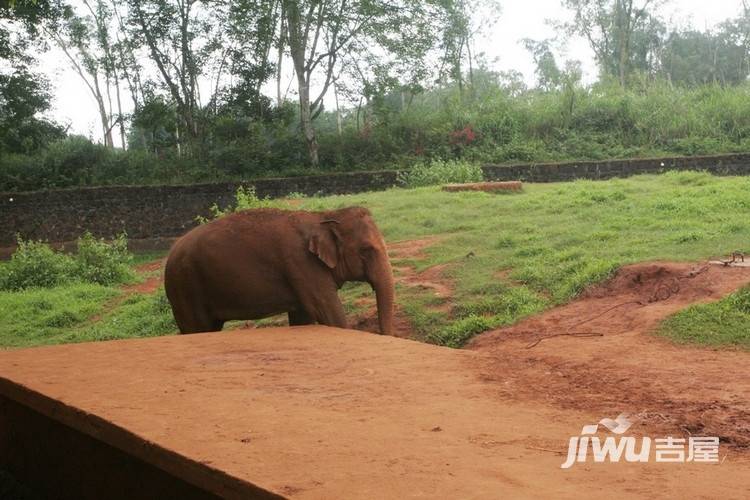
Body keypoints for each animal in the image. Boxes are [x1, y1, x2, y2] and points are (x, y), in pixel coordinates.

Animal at [164, 205, 396, 334]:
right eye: (366, 250)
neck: (322, 216)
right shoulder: (301, 263)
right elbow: (327, 312)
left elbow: (303, 316)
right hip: (184, 286)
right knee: (197, 327)